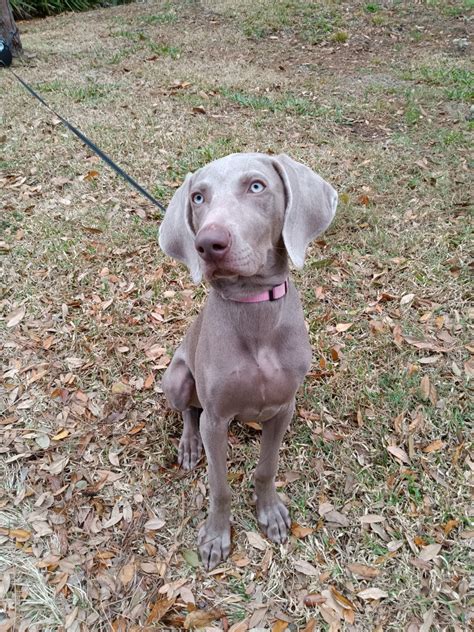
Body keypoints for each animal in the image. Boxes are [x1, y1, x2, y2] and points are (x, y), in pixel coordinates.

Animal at [159, 152, 336, 568]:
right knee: (189, 411)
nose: (209, 243)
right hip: (176, 378)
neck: (254, 309)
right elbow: (219, 484)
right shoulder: (216, 419)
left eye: (257, 186)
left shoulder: (284, 406)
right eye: (197, 197)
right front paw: (215, 537)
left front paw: (269, 513)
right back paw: (189, 445)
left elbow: (267, 468)